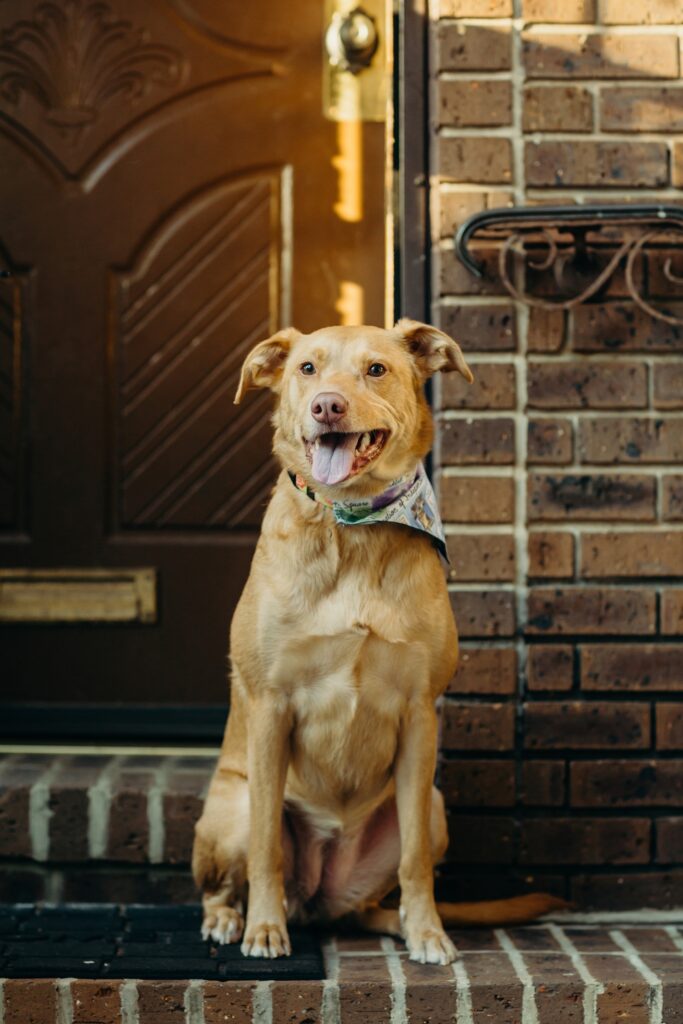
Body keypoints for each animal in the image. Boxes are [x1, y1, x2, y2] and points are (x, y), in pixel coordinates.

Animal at [193, 321, 565, 966]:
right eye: (308, 369)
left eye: (376, 370)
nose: (327, 407)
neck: (353, 529)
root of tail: (316, 902)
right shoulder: (269, 707)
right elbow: (267, 846)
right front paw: (263, 929)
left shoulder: (419, 716)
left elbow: (415, 859)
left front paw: (428, 932)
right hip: (231, 805)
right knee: (230, 875)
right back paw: (232, 919)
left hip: (434, 808)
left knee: (376, 896)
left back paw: (397, 923)